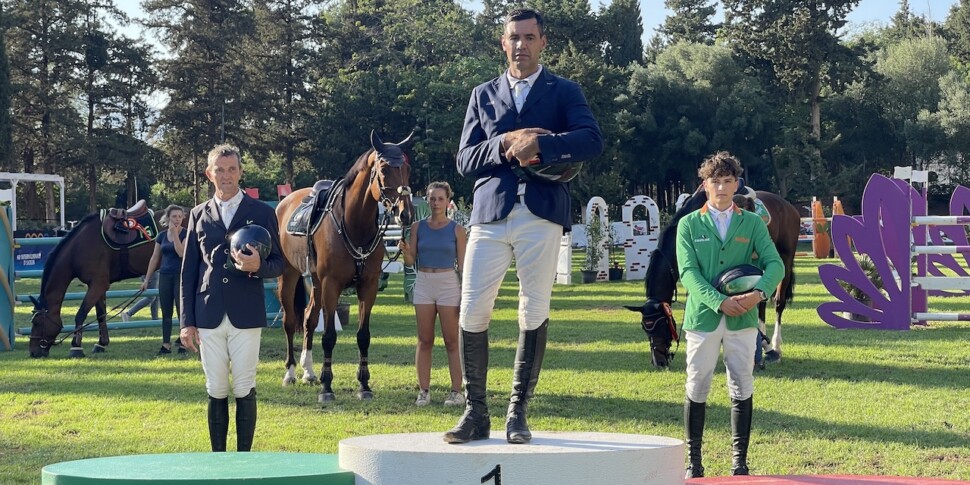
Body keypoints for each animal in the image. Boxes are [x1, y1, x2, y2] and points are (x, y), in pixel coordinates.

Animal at [27, 202, 159, 358]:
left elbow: (81, 314)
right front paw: (101, 344)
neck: (79, 247)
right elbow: (101, 314)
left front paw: (76, 347)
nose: (33, 352)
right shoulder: (99, 286)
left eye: (36, 323)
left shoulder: (97, 285)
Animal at [276, 130, 412, 402]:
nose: (405, 213)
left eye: (408, 168)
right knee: (289, 321)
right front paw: (327, 388)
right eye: (384, 169)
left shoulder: (368, 286)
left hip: (315, 281)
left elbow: (363, 336)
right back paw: (291, 373)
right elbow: (329, 336)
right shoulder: (332, 285)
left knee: (308, 318)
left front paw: (364, 385)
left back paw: (309, 372)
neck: (354, 224)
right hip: (290, 275)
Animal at [624, 188, 796, 366]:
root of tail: (787, 205)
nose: (658, 362)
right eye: (645, 328)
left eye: (662, 324)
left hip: (785, 259)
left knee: (778, 302)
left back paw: (775, 346)